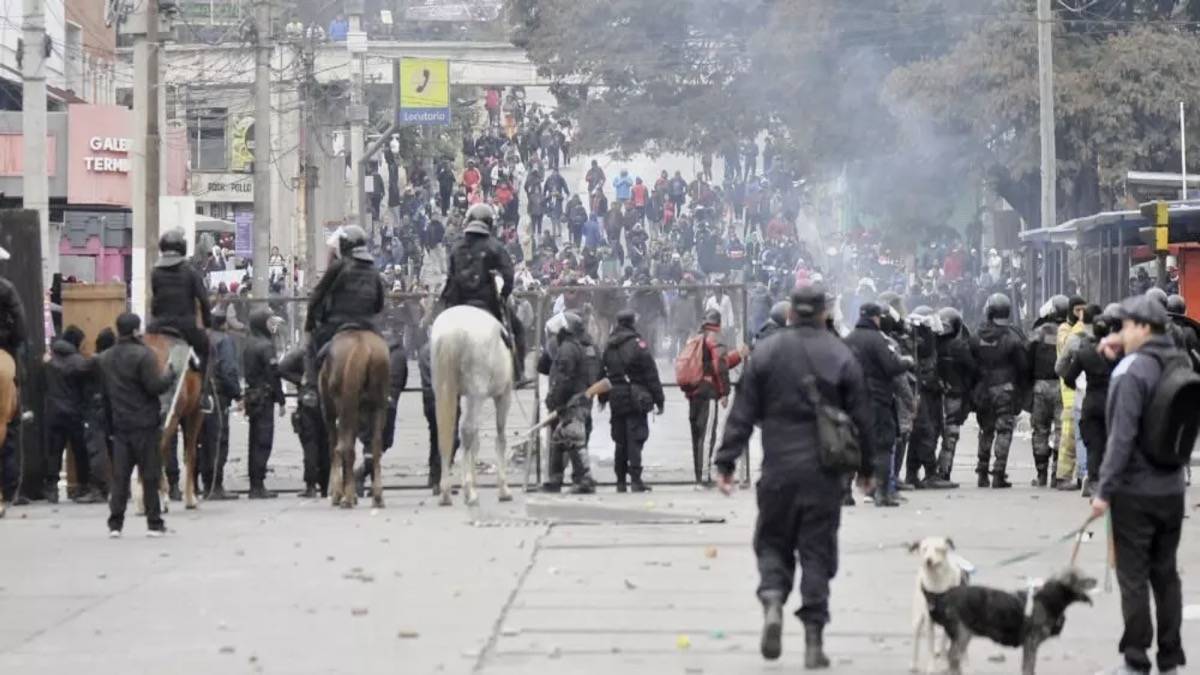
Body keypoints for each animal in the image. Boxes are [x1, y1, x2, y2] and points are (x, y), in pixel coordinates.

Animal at [141, 331, 205, 509]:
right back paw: (162, 497)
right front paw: (191, 498)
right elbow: (191, 453)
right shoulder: (195, 414)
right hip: (172, 417)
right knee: (159, 450)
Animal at [319, 329, 388, 506]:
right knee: (376, 445)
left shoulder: (330, 414)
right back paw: (377, 496)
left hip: (344, 407)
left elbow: (334, 448)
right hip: (377, 406)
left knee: (345, 447)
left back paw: (347, 497)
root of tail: (361, 345)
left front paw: (338, 493)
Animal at [429, 305, 513, 504]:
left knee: (446, 434)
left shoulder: (465, 396)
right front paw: (503, 488)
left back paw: (446, 491)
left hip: (443, 390)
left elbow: (475, 441)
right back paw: (468, 491)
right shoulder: (503, 395)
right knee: (467, 430)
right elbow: (500, 438)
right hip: (478, 393)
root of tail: (452, 332)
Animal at [907, 533, 964, 667]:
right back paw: (913, 664)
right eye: (924, 549)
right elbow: (930, 647)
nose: (928, 560)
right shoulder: (929, 621)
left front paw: (943, 661)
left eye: (938, 549)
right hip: (917, 617)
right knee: (916, 637)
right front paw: (931, 667)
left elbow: (944, 642)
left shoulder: (951, 620)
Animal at [926, 564, 1099, 667]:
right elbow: (1028, 668)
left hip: (964, 634)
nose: (1096, 580)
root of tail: (943, 596)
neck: (1048, 599)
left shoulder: (1030, 645)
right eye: (1082, 579)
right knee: (953, 658)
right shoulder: (1031, 643)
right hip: (962, 633)